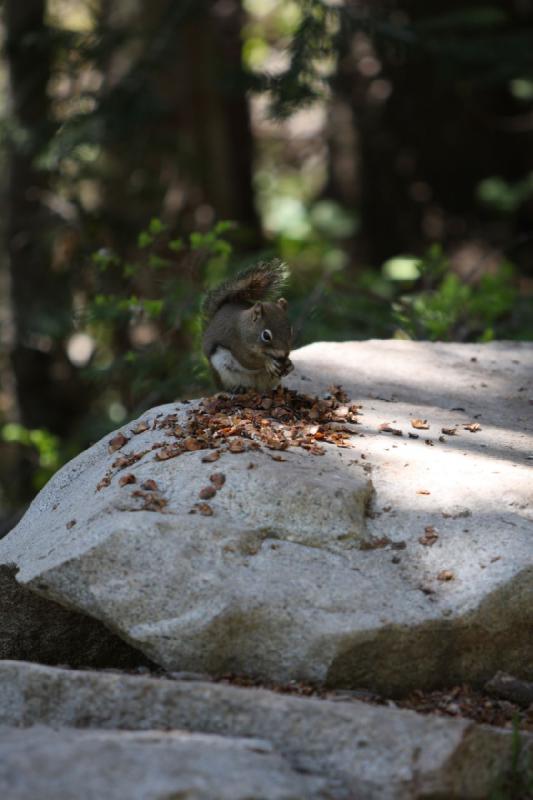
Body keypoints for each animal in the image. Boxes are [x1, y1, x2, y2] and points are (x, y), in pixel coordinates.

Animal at [202, 260, 294, 392]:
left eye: (291, 331)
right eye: (266, 336)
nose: (283, 355)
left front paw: (289, 363)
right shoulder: (237, 344)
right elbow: (248, 361)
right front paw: (268, 362)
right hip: (224, 369)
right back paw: (238, 389)